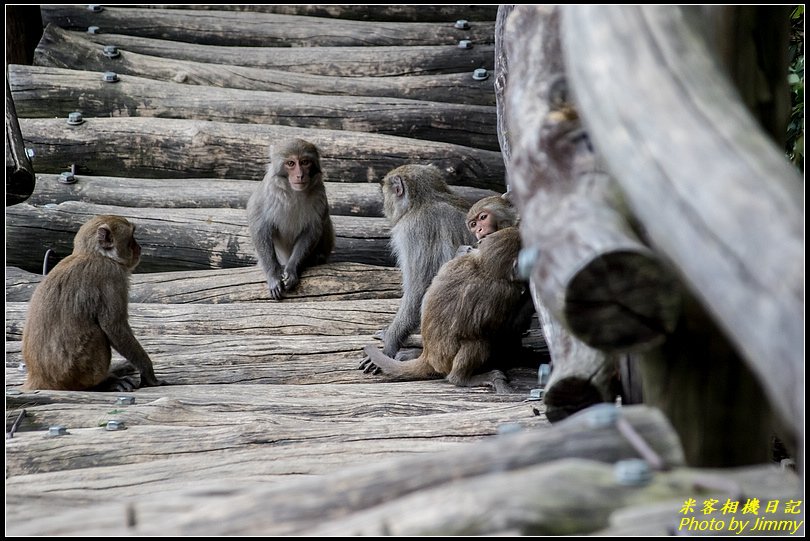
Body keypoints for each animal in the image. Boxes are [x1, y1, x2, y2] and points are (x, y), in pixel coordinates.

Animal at [21, 213, 163, 390]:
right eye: (131, 239)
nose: (139, 248)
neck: (96, 254)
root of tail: (38, 377)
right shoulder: (112, 275)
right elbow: (113, 326)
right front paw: (149, 374)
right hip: (77, 369)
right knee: (98, 334)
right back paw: (105, 382)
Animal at [246, 137, 334, 300]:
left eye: (305, 162)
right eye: (291, 163)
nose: (300, 175)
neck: (294, 191)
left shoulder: (319, 194)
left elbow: (313, 229)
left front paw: (292, 269)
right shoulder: (267, 193)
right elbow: (259, 226)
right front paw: (273, 275)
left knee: (325, 222)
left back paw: (316, 258)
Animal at [362, 225, 528, 392]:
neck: (483, 266)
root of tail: (428, 357)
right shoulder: (504, 292)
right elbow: (503, 327)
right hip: (447, 361)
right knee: (478, 341)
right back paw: (461, 378)